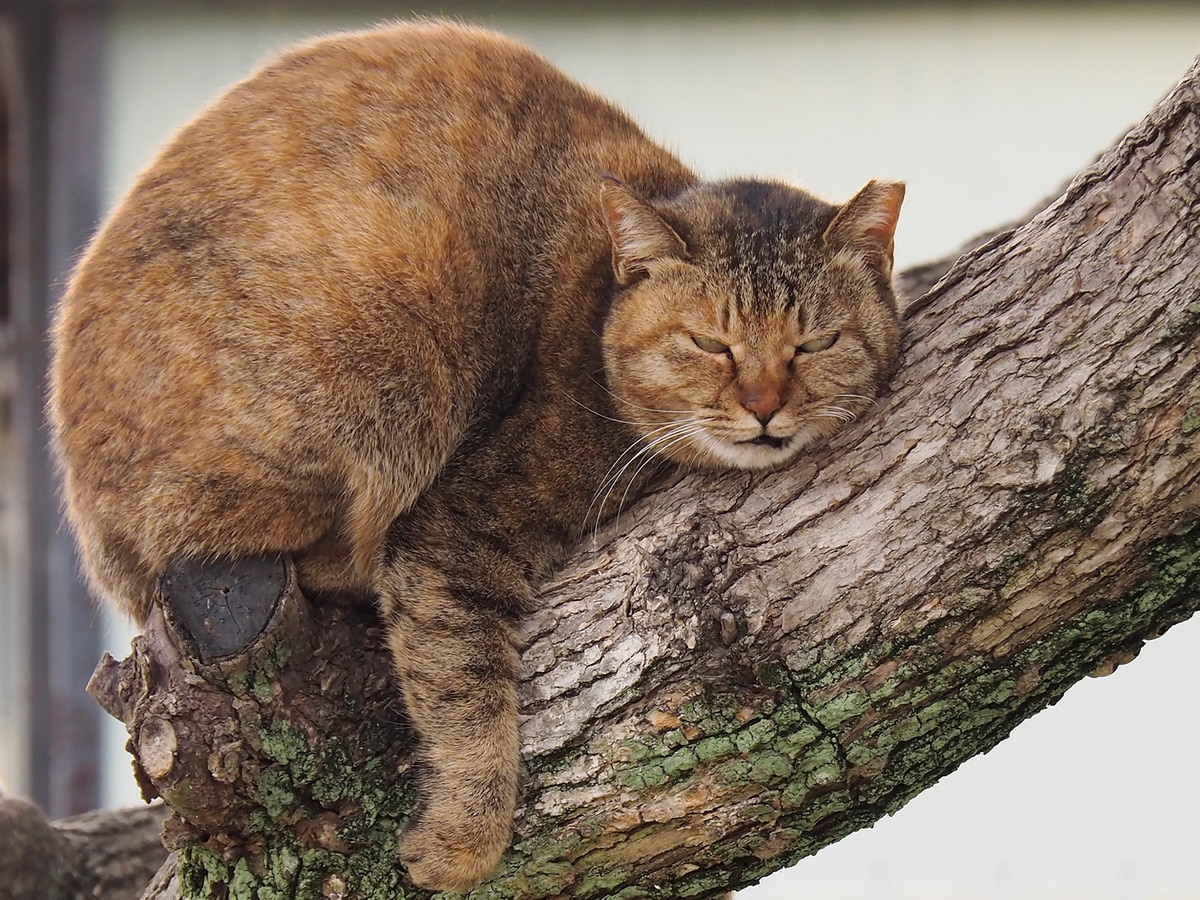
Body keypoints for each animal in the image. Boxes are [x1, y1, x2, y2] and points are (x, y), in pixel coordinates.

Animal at [51, 17, 902, 892]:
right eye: (709, 343)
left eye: (816, 342)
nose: (765, 405)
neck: (596, 314)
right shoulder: (450, 531)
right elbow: (464, 697)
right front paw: (464, 841)